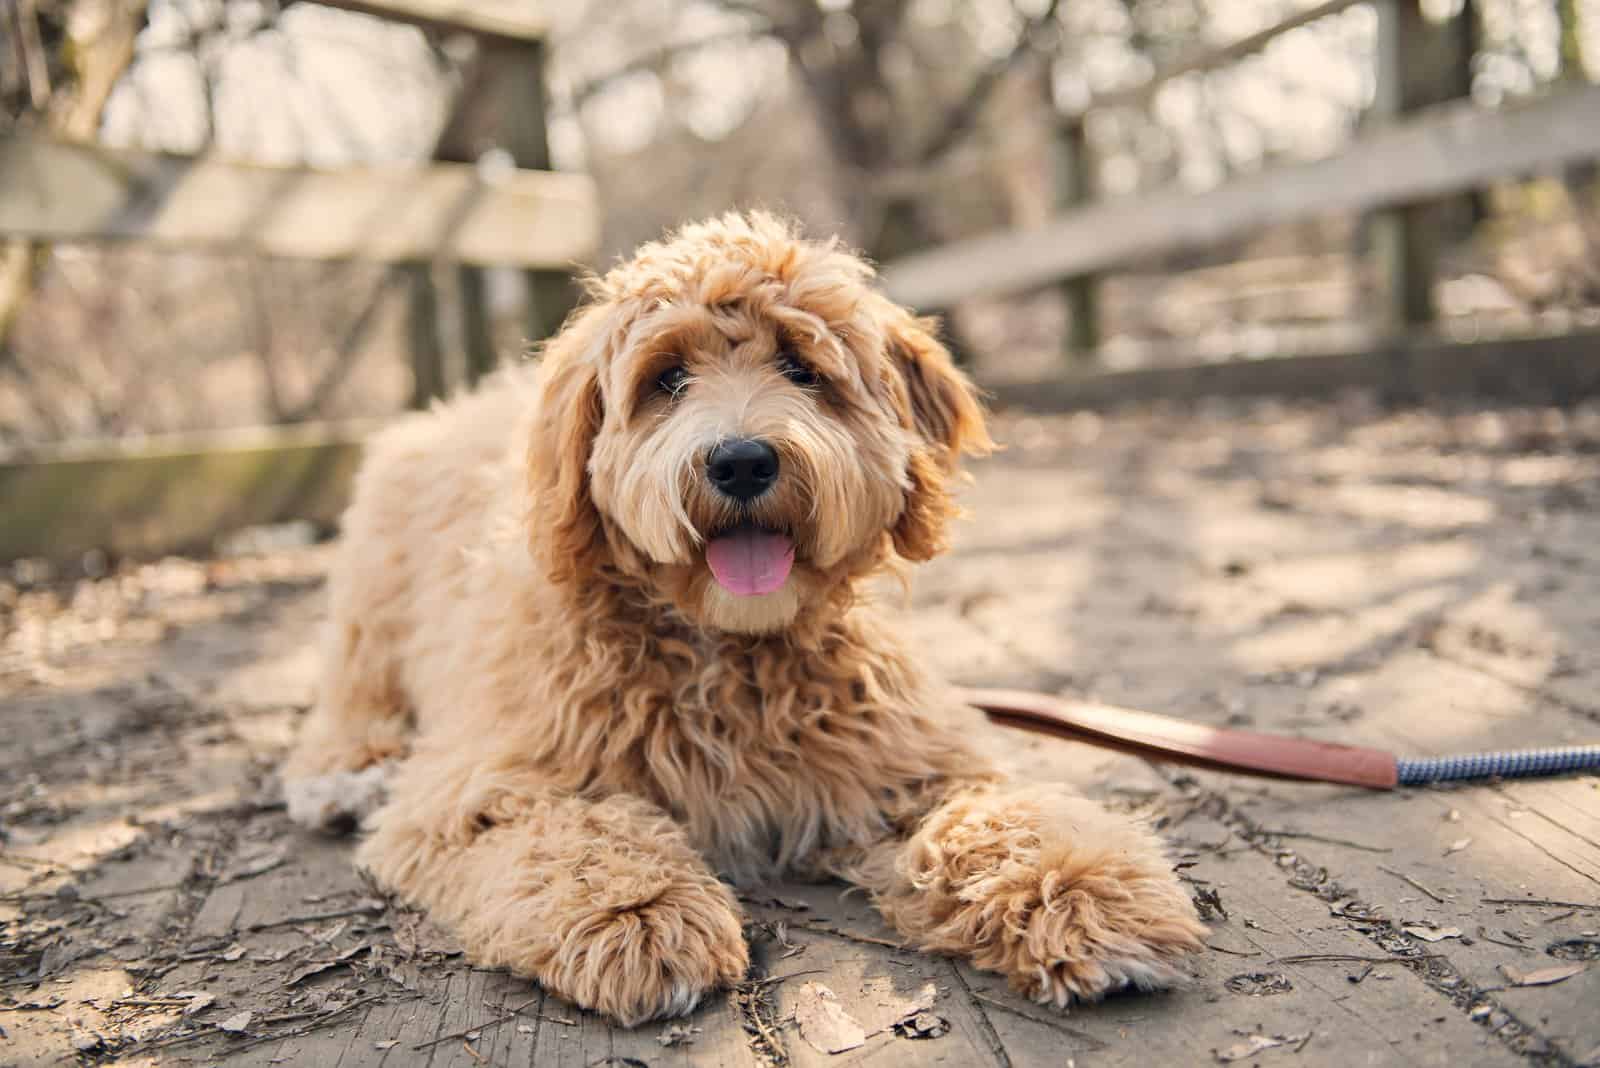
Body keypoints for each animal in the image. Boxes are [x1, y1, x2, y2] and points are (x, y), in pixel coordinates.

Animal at [281, 211, 1203, 1023]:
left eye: (801, 367)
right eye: (666, 379)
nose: (742, 460)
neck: (727, 646)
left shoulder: (906, 761)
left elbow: (997, 816)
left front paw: (1080, 889)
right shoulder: (477, 787)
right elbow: (568, 831)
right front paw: (641, 914)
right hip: (371, 608)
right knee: (349, 697)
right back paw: (343, 774)